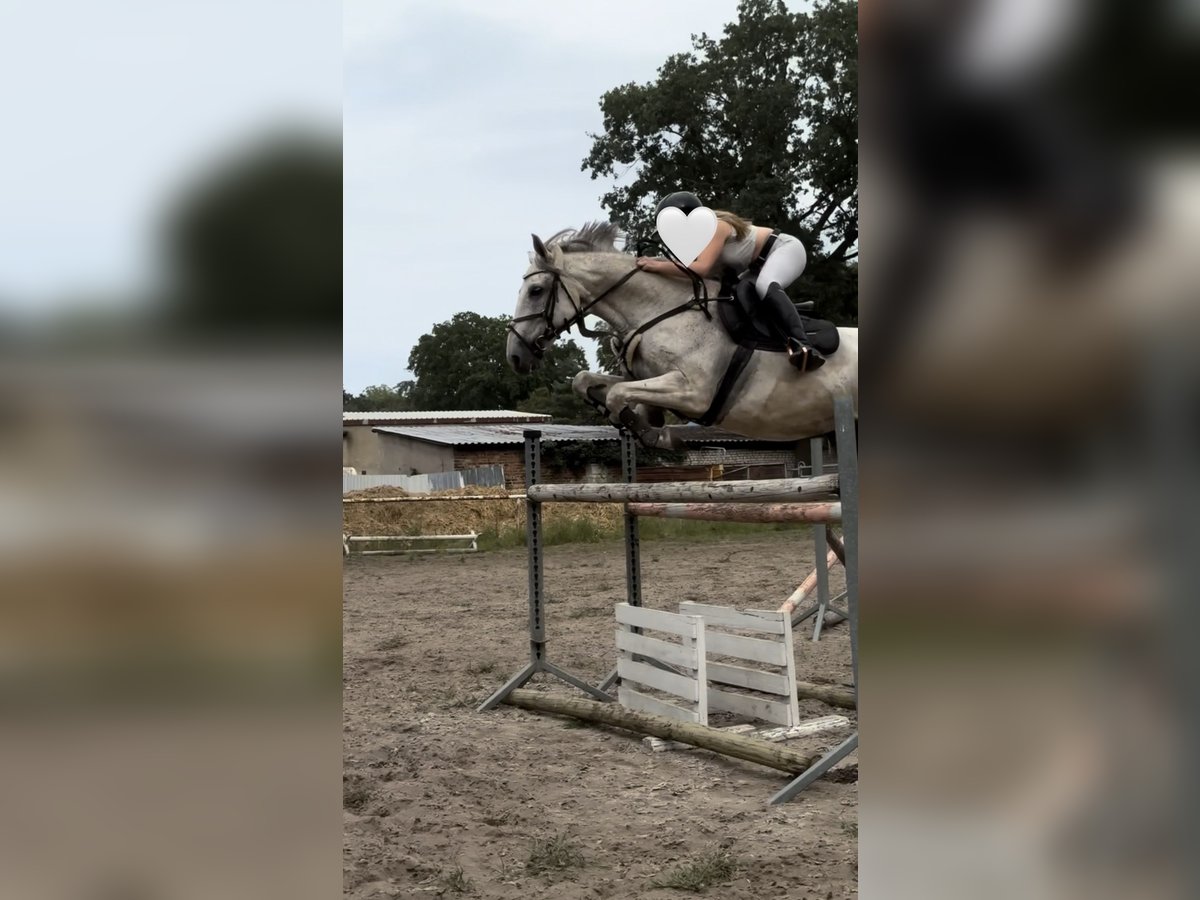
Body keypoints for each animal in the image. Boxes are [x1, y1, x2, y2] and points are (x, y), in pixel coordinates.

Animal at [506, 222, 858, 449]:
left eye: (536, 291)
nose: (515, 356)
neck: (660, 310)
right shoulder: (649, 379)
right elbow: (585, 381)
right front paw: (635, 420)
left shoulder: (694, 392)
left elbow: (618, 395)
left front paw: (652, 436)